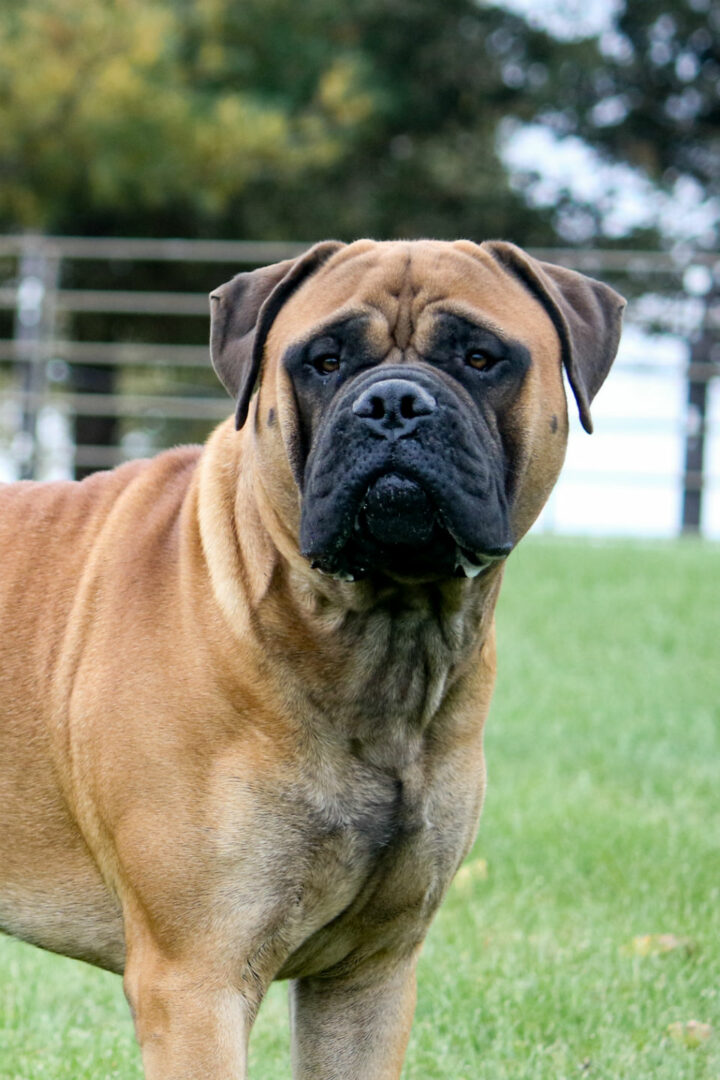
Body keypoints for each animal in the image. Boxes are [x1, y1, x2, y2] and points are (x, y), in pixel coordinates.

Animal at [0, 240, 626, 1075]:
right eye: (324, 361)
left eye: (480, 357)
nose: (393, 403)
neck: (383, 642)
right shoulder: (197, 979)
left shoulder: (370, 974)